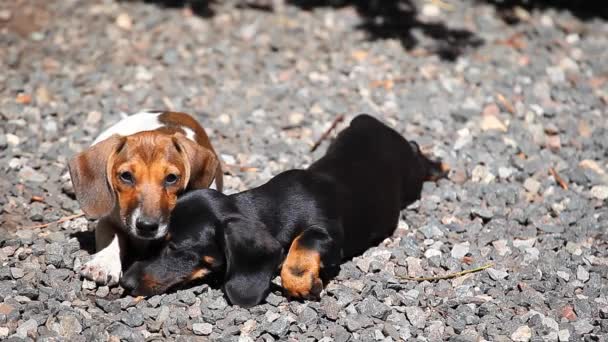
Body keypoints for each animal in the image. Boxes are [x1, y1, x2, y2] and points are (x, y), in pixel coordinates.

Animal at [69, 111, 224, 284]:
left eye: (171, 178)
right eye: (126, 176)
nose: (146, 226)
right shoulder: (108, 220)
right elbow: (113, 238)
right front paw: (103, 263)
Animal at [121, 113, 444, 306]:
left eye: (177, 248)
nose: (125, 282)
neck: (273, 209)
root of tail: (370, 121)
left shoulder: (328, 233)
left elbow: (302, 246)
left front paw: (302, 284)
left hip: (412, 174)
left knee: (418, 153)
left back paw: (440, 166)